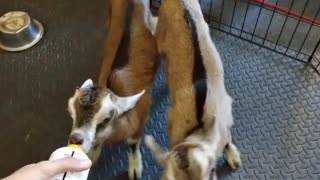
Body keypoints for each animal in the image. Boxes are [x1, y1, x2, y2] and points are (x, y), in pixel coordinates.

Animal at [67, 0, 159, 179]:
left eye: (106, 119)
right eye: (72, 114)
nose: (75, 139)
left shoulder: (141, 117)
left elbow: (133, 143)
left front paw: (135, 166)